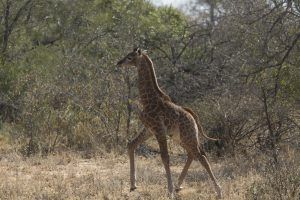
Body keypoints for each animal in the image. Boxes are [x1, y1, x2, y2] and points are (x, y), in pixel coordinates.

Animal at [117, 47, 223, 198]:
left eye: (130, 57)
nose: (119, 63)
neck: (147, 100)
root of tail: (192, 117)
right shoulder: (149, 129)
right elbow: (131, 144)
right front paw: (133, 185)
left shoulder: (158, 130)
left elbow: (165, 157)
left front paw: (170, 191)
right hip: (180, 137)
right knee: (192, 154)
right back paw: (179, 185)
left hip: (187, 136)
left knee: (201, 156)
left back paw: (218, 191)